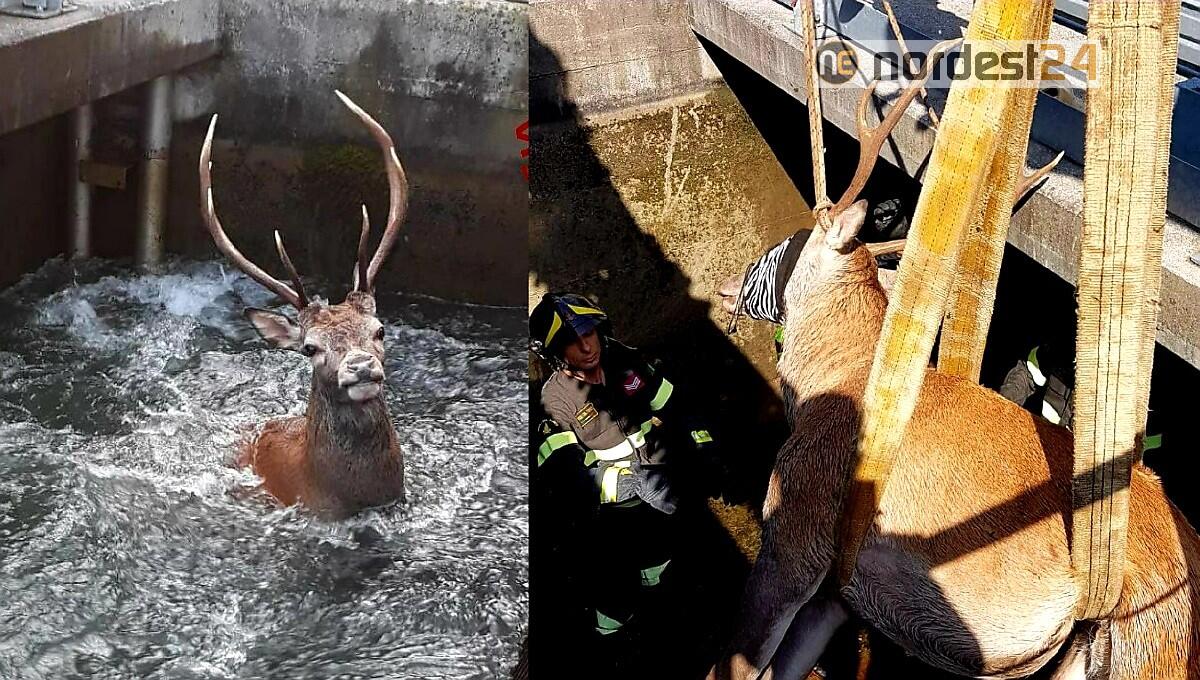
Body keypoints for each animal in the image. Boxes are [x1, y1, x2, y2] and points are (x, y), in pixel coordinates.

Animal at [708, 59, 1199, 680]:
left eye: (788, 246)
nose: (727, 285)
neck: (843, 375)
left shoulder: (796, 530)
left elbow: (736, 664)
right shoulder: (839, 597)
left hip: (1149, 655)